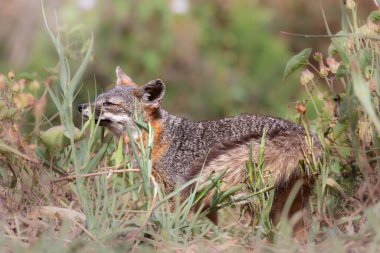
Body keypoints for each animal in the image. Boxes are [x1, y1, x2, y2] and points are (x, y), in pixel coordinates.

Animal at [78, 66, 322, 231]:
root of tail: (302, 132)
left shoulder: (179, 195)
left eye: (109, 104)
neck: (162, 140)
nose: (80, 106)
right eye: (97, 98)